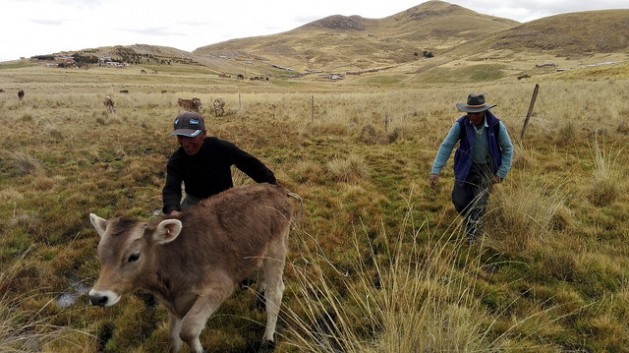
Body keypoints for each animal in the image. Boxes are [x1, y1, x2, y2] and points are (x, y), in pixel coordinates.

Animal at [87, 183, 298, 352]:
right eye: (100, 254)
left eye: (134, 256)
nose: (97, 297)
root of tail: (278, 188)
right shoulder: (174, 306)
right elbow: (173, 341)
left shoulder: (220, 286)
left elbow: (188, 330)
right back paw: (259, 297)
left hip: (278, 247)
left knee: (276, 292)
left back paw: (267, 339)